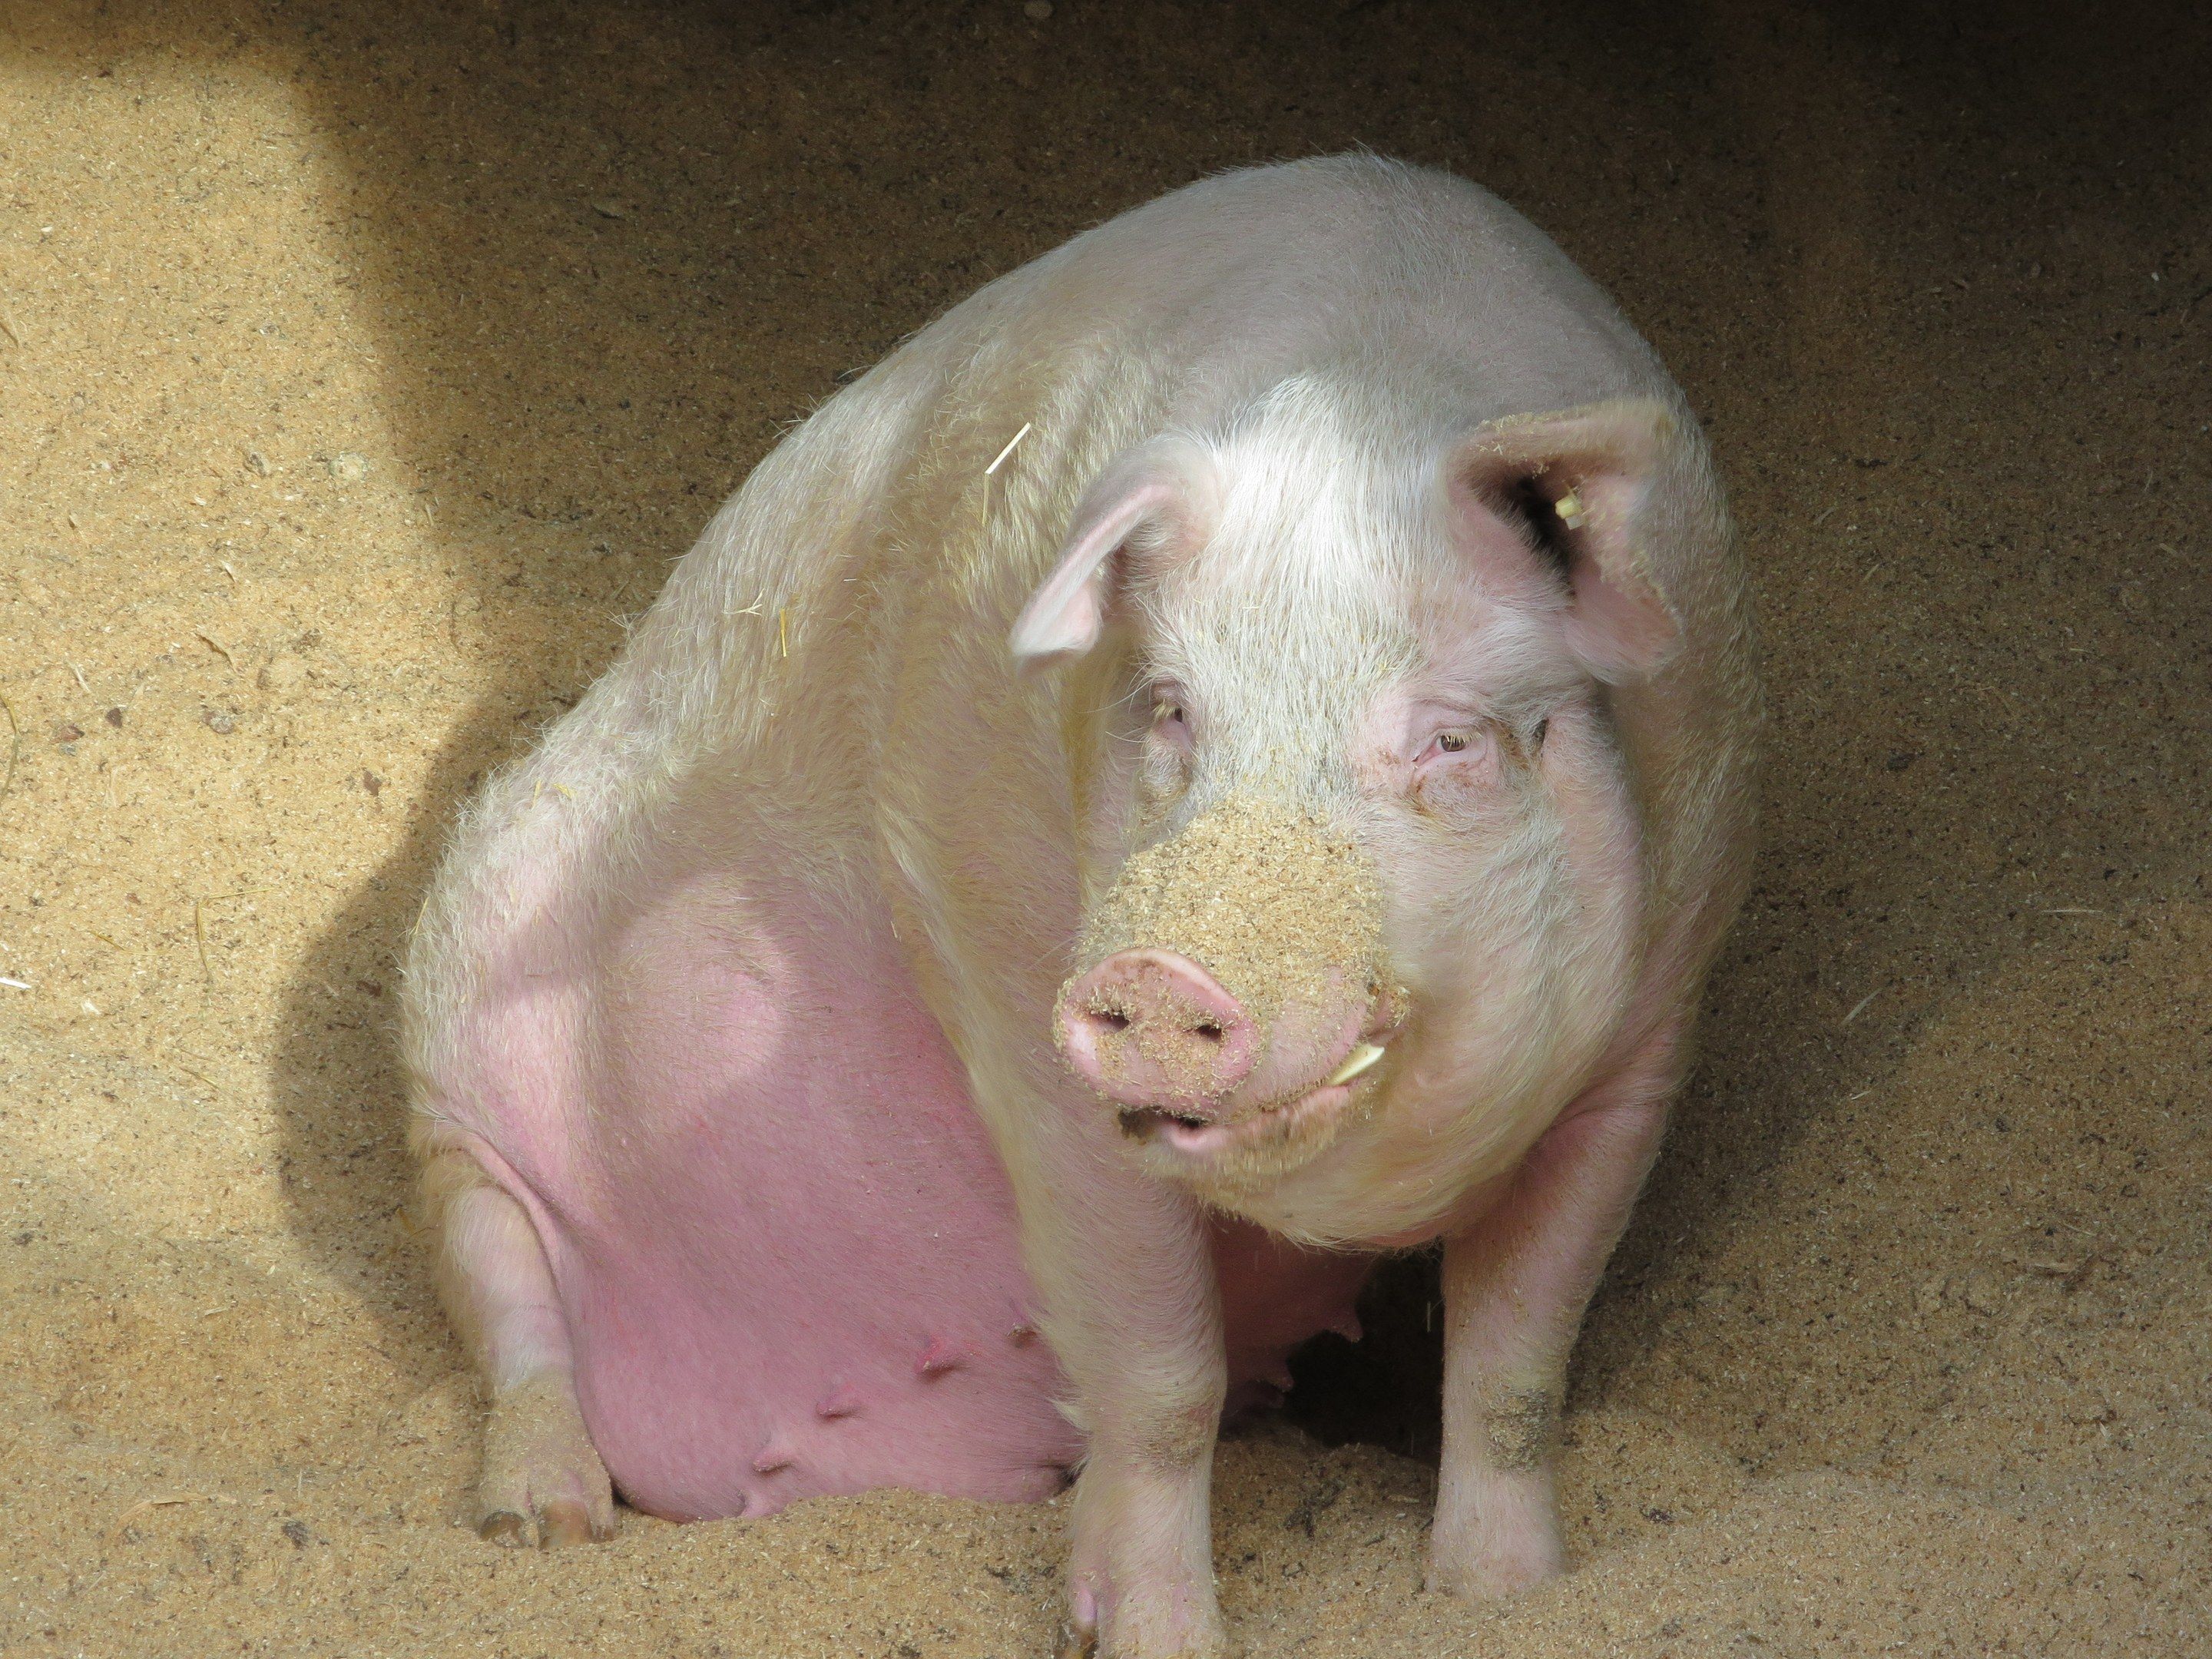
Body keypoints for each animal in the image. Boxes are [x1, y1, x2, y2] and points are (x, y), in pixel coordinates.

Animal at [400, 153, 1759, 1659]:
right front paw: (1159, 1639)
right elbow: (1163, 1381)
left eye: (1454, 741)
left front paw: (1503, 1599)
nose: (1162, 973)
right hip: (450, 1054)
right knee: (508, 1301)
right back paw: (543, 1525)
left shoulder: (1655, 1031)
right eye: (1169, 709)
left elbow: (1518, 1358)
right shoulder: (1007, 986)